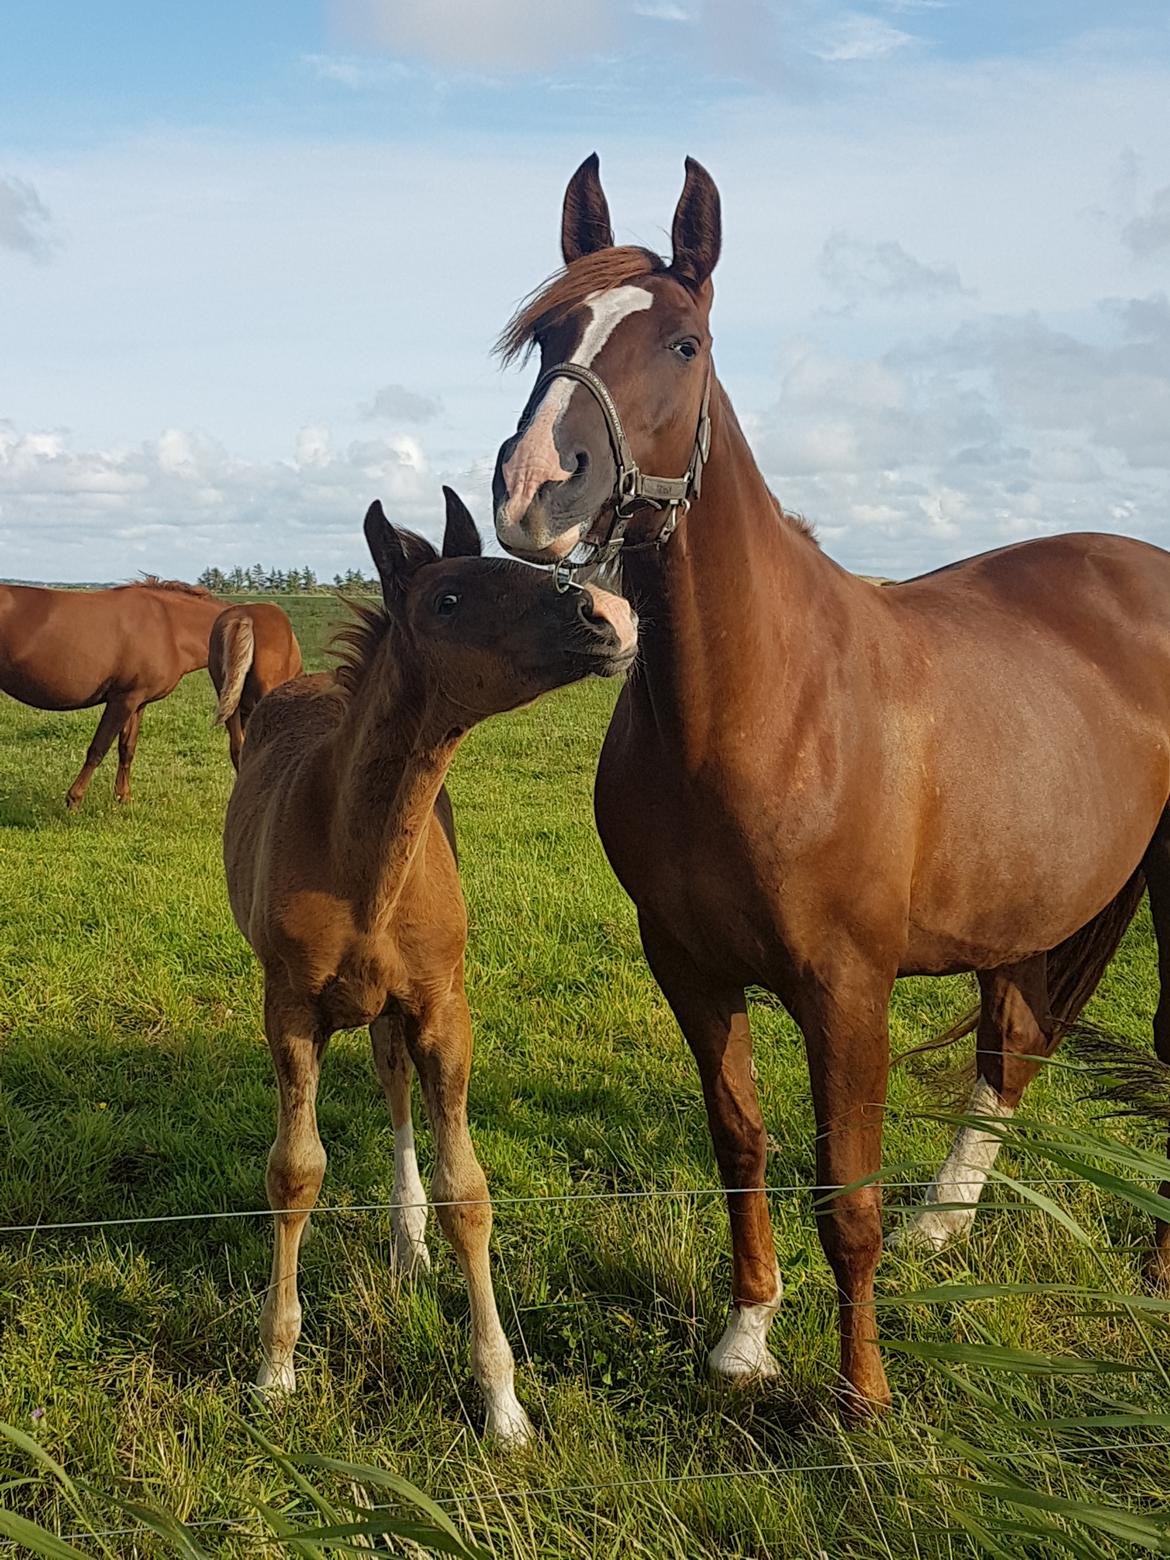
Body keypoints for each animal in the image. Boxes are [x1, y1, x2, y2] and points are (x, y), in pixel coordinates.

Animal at [0, 580, 224, 811]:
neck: (169, 627)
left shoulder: (138, 703)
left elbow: (127, 749)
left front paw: (123, 797)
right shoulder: (122, 700)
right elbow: (98, 748)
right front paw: (74, 799)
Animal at [223, 489, 636, 1447]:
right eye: (447, 599)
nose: (608, 614)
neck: (359, 852)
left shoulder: (445, 1009)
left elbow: (467, 1192)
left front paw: (504, 1403)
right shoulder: (288, 1010)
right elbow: (294, 1173)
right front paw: (275, 1369)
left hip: (397, 1007)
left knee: (395, 1085)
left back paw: (407, 1244)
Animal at [489, 155, 1170, 1416]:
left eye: (685, 344)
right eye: (551, 333)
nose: (533, 491)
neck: (757, 709)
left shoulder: (847, 989)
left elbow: (842, 1194)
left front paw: (862, 1393)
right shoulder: (692, 970)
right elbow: (742, 1148)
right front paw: (745, 1338)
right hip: (1023, 906)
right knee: (1010, 1044)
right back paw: (943, 1230)